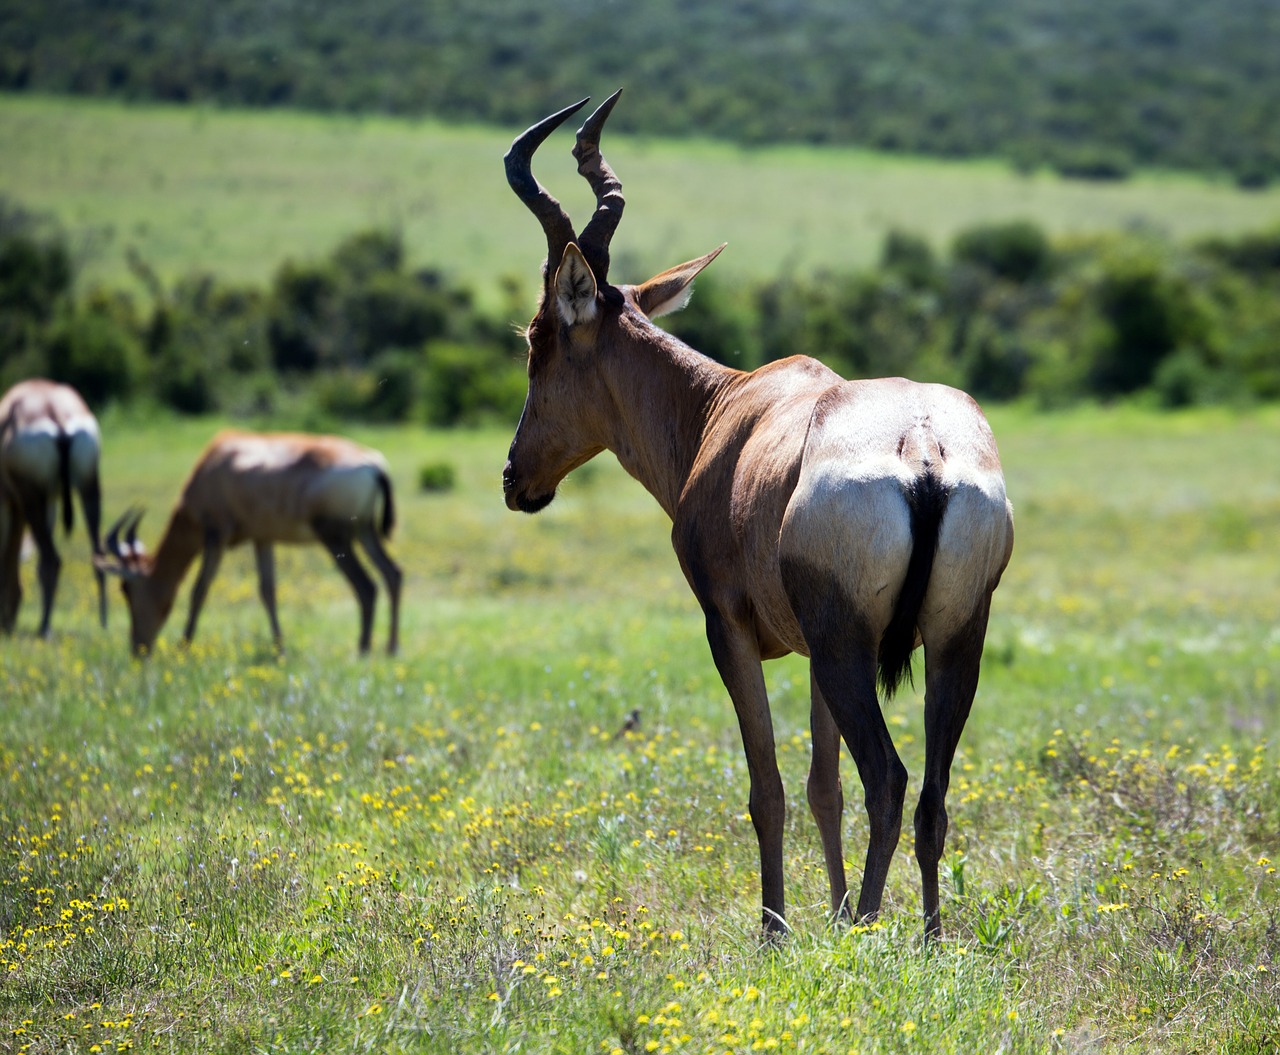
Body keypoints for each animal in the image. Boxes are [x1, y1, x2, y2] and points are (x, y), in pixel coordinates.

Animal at [0, 378, 106, 635]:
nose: (8, 621)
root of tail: (55, 412)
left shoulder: (8, 499)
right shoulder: (50, 499)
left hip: (30, 498)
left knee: (51, 559)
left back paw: (44, 627)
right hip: (88, 485)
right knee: (98, 555)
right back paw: (103, 623)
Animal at [94, 427, 399, 650]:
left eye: (126, 588)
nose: (138, 649)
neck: (218, 461)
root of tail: (373, 465)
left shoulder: (216, 535)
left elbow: (200, 589)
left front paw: (184, 646)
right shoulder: (262, 538)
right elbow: (268, 591)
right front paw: (279, 648)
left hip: (336, 538)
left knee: (366, 586)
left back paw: (363, 649)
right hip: (365, 532)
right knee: (392, 573)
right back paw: (390, 647)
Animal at [499, 92, 1008, 937]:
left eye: (537, 339)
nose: (516, 480)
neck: (727, 408)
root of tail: (923, 450)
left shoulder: (730, 628)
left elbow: (766, 787)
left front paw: (777, 928)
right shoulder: (810, 652)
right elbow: (821, 787)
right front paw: (827, 908)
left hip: (849, 647)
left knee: (890, 778)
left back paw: (867, 932)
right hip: (952, 638)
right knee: (931, 796)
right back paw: (930, 936)